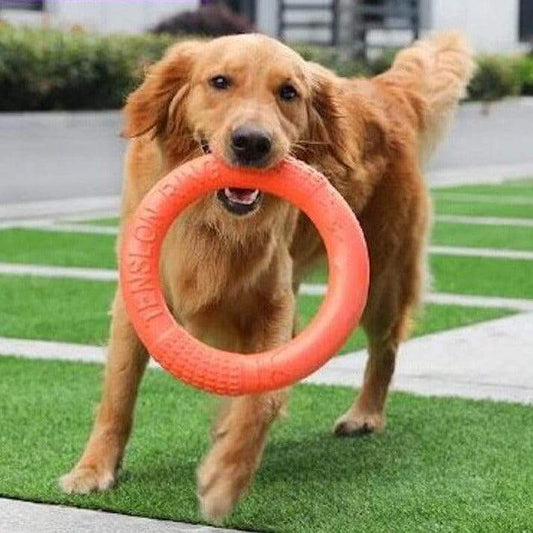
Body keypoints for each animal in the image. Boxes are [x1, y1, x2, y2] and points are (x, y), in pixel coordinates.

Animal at [60, 32, 472, 520]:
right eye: (219, 82)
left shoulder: (273, 306)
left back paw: (365, 414)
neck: (213, 223)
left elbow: (263, 399)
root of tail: (380, 92)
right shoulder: (136, 299)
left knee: (385, 348)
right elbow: (119, 393)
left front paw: (225, 478)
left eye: (288, 92)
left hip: (382, 278)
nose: (252, 142)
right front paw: (92, 470)